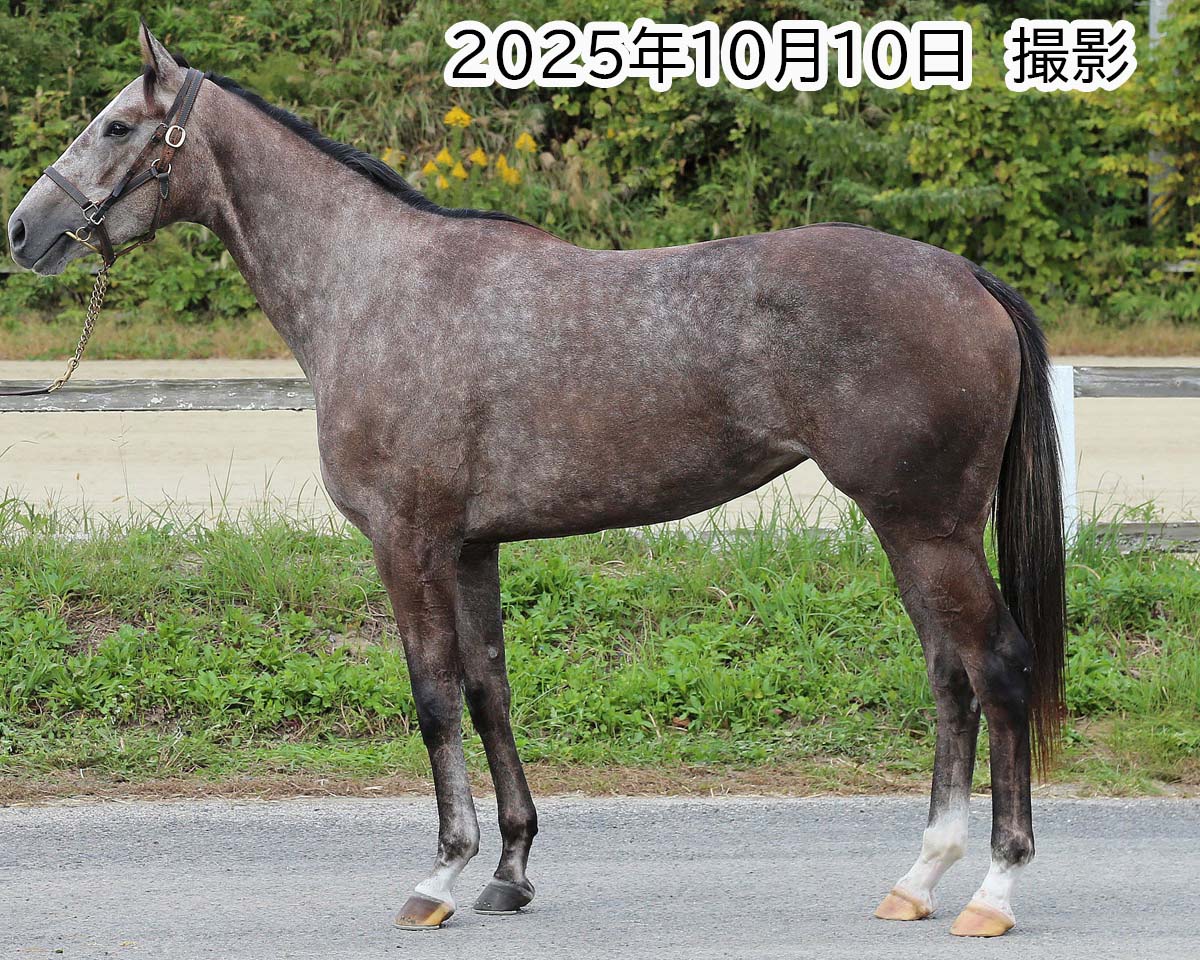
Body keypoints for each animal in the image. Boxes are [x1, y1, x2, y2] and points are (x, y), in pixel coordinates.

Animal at [7, 23, 1065, 939]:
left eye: (117, 126)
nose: (24, 230)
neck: (374, 289)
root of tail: (965, 277)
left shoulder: (408, 543)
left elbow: (433, 697)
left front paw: (439, 876)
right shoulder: (473, 547)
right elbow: (489, 693)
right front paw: (510, 872)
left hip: (926, 527)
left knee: (997, 668)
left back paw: (993, 890)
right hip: (910, 530)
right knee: (950, 678)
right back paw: (918, 879)